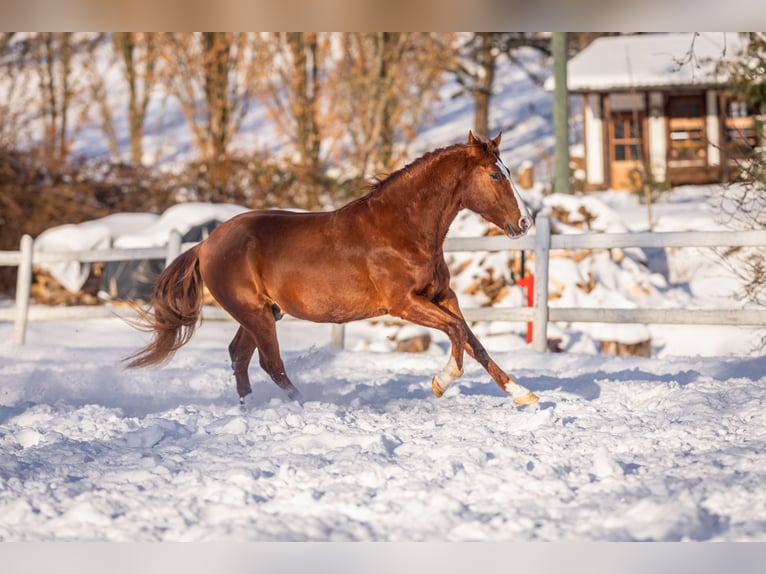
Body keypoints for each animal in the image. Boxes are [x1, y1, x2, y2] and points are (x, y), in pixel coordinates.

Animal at [125, 131, 539, 406]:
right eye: (495, 175)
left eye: (507, 171)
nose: (525, 222)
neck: (402, 228)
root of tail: (206, 243)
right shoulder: (404, 304)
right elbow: (456, 332)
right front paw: (441, 381)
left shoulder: (442, 295)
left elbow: (473, 341)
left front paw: (521, 393)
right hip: (255, 313)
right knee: (270, 363)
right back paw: (302, 405)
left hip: (262, 313)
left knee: (239, 357)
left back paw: (250, 408)